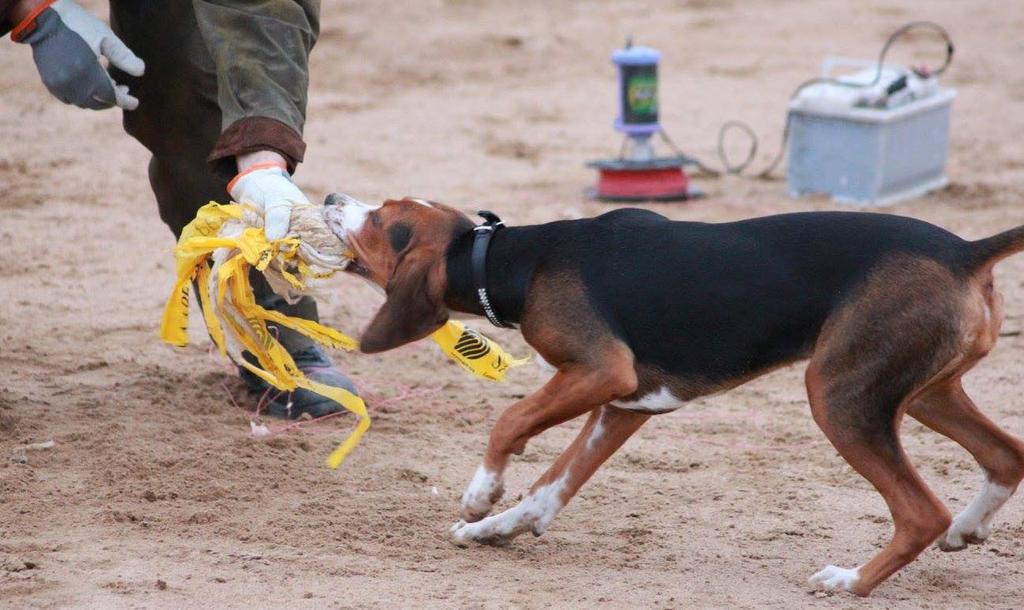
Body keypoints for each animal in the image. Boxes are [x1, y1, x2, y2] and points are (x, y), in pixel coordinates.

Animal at [323, 195, 1024, 597]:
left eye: (382, 219)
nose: (331, 195)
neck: (510, 257)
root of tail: (965, 250)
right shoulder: (624, 404)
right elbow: (553, 485)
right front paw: (501, 526)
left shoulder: (601, 373)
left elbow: (510, 422)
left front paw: (481, 495)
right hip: (924, 393)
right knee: (1006, 456)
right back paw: (967, 528)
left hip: (840, 397)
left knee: (919, 512)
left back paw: (851, 581)